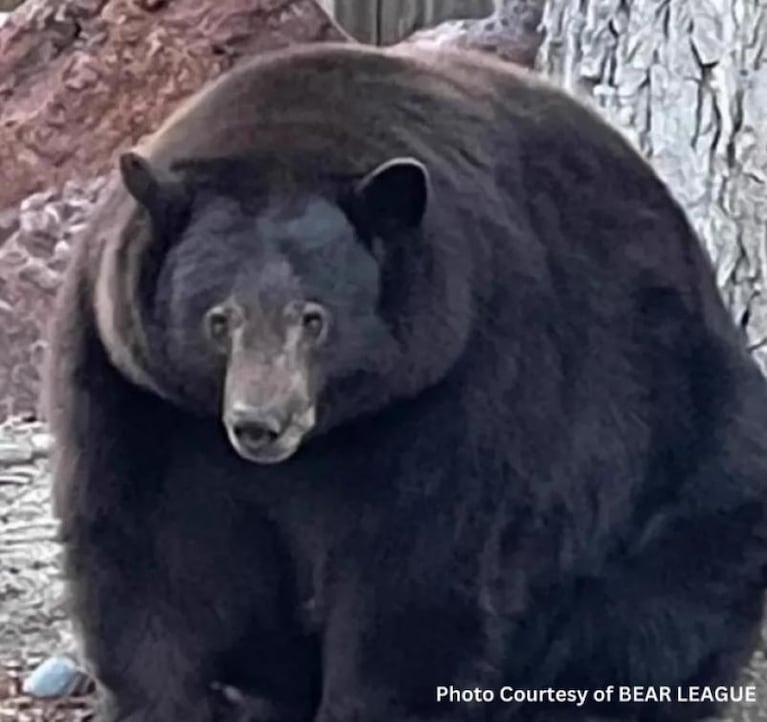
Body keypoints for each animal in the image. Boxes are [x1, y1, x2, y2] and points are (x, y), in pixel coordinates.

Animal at [43, 43, 767, 720]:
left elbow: (418, 568)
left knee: (656, 609)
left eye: (314, 318)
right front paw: (171, 698)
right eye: (218, 318)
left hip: (676, 448)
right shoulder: (137, 390)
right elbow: (151, 548)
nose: (260, 423)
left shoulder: (461, 375)